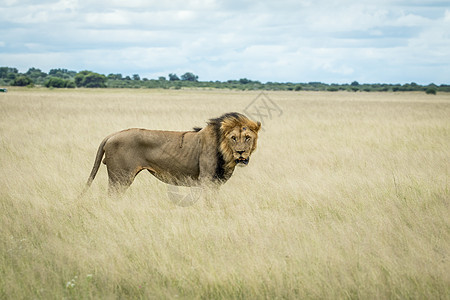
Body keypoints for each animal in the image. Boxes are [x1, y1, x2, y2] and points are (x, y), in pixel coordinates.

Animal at [82, 112, 262, 195]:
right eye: (233, 138)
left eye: (247, 137)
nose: (240, 152)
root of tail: (111, 135)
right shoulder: (206, 180)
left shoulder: (215, 183)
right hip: (120, 178)